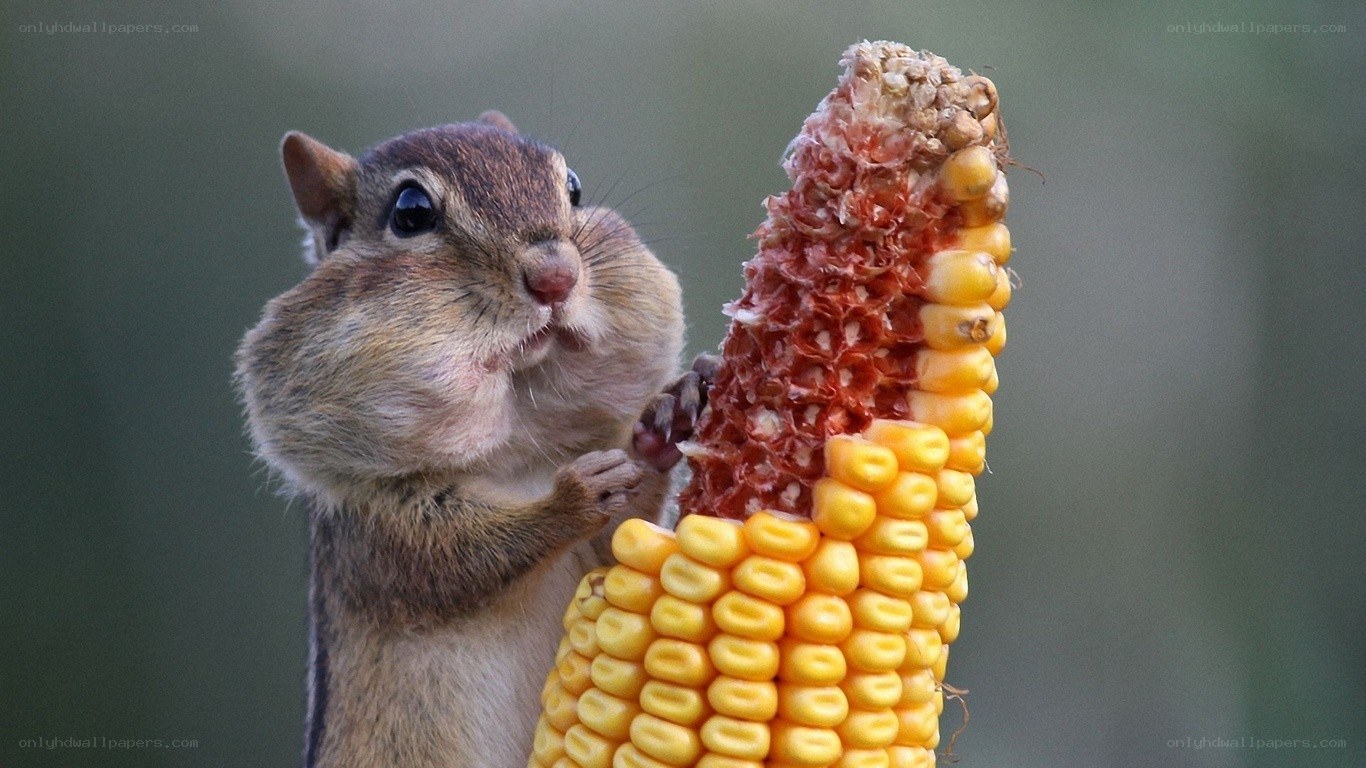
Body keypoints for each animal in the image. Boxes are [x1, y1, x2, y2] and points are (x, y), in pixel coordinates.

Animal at [235, 111, 716, 768]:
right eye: (411, 212)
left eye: (573, 187)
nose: (556, 276)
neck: (518, 454)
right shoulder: (374, 531)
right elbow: (458, 559)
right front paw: (572, 499)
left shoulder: (604, 557)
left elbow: (624, 544)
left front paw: (668, 415)